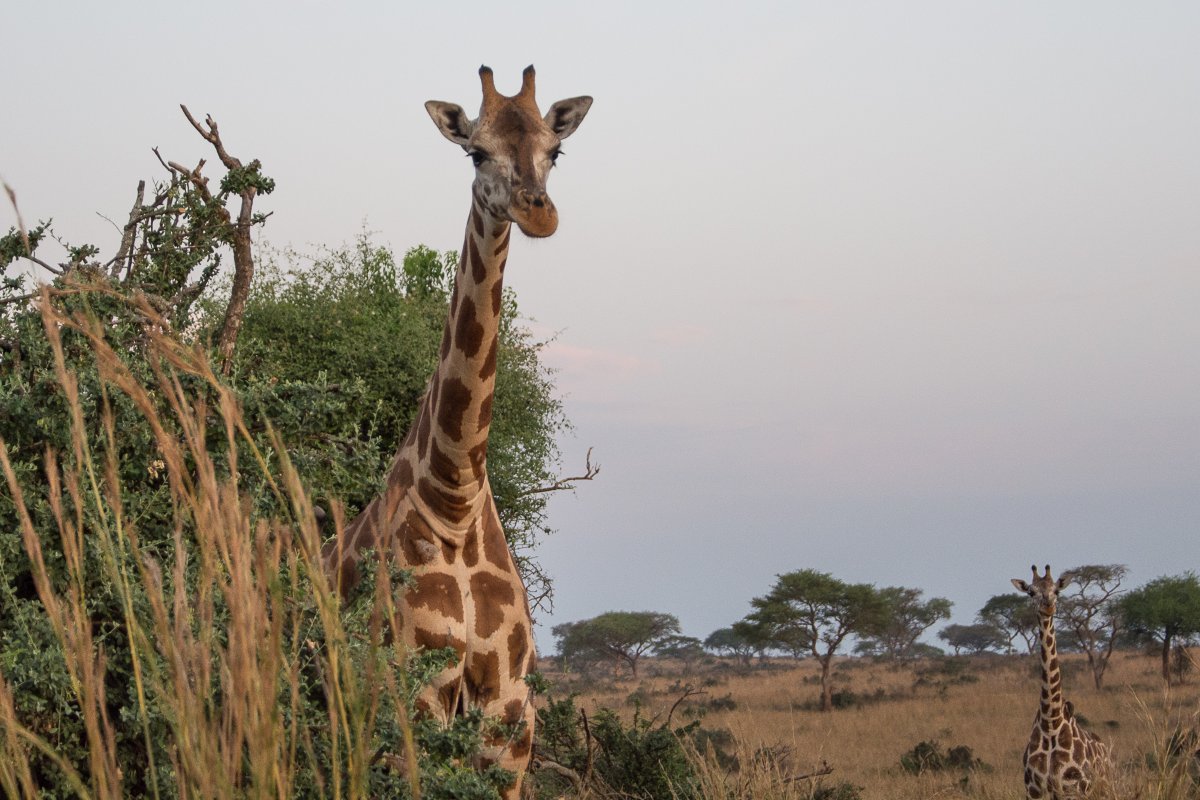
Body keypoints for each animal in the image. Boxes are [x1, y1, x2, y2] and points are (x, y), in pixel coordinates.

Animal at [321, 65, 588, 796]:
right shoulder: (409, 704)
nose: (538, 212)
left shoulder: (510, 723)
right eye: (475, 152)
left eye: (555, 151)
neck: (456, 495)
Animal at [1012, 566, 1113, 796]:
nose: (1048, 605)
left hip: (1103, 790)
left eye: (1056, 590)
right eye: (1031, 592)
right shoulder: (1034, 789)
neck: (1051, 722)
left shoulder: (1074, 788)